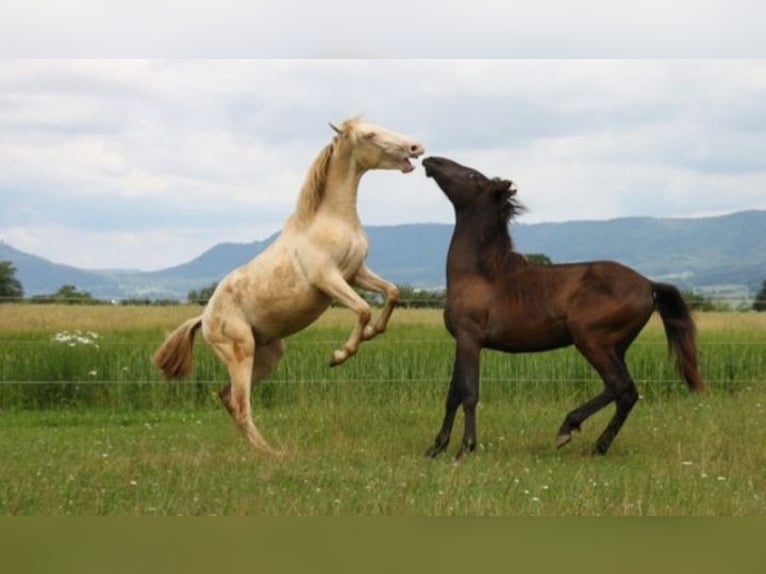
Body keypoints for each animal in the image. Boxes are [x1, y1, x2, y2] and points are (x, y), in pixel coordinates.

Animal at [152, 118, 424, 460]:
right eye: (369, 134)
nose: (416, 147)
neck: (332, 219)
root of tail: (204, 318)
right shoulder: (328, 279)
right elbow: (362, 309)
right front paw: (339, 355)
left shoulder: (355, 274)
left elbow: (392, 292)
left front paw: (373, 332)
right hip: (240, 352)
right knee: (241, 405)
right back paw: (274, 455)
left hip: (268, 354)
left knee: (227, 398)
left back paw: (263, 451)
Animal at [424, 156, 704, 460]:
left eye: (473, 175)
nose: (431, 161)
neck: (481, 272)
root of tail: (648, 284)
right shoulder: (461, 341)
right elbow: (453, 396)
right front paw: (435, 447)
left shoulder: (470, 340)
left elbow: (469, 394)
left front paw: (465, 449)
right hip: (615, 347)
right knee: (624, 393)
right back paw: (597, 446)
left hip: (591, 341)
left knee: (621, 386)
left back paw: (568, 428)